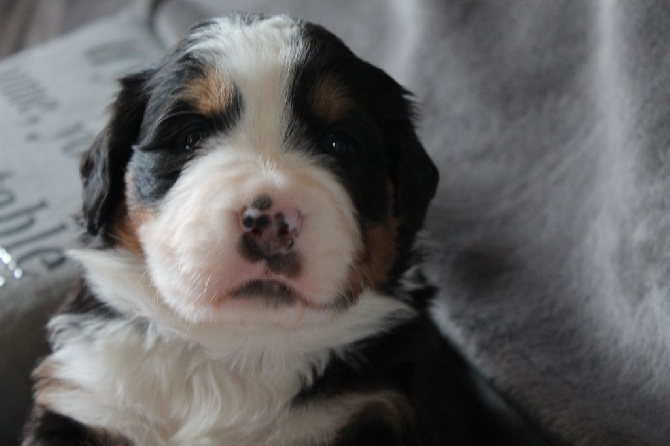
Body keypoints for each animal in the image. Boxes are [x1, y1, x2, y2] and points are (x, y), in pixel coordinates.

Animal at [21, 13, 496, 446]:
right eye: (191, 137)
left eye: (339, 143)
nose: (270, 223)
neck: (237, 354)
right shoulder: (86, 400)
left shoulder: (377, 407)